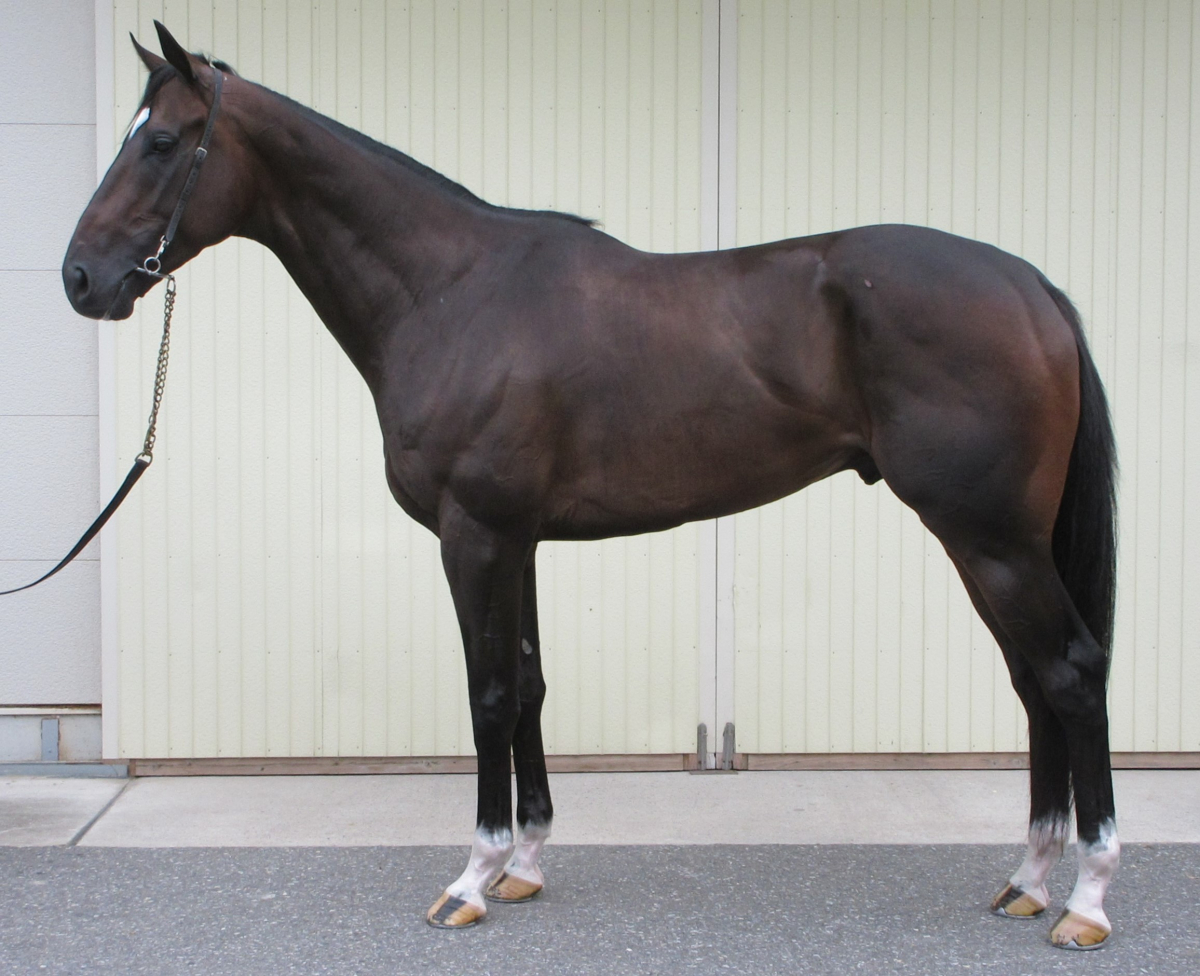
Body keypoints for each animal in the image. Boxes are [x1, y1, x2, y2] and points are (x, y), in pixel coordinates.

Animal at [64, 23, 1119, 949]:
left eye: (162, 142)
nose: (80, 279)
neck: (453, 291)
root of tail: (1032, 288)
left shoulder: (475, 535)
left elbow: (489, 694)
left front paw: (471, 879)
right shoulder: (519, 538)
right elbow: (531, 684)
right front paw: (524, 866)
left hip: (989, 537)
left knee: (1069, 672)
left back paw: (1085, 901)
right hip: (993, 543)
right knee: (1033, 682)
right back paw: (1029, 881)